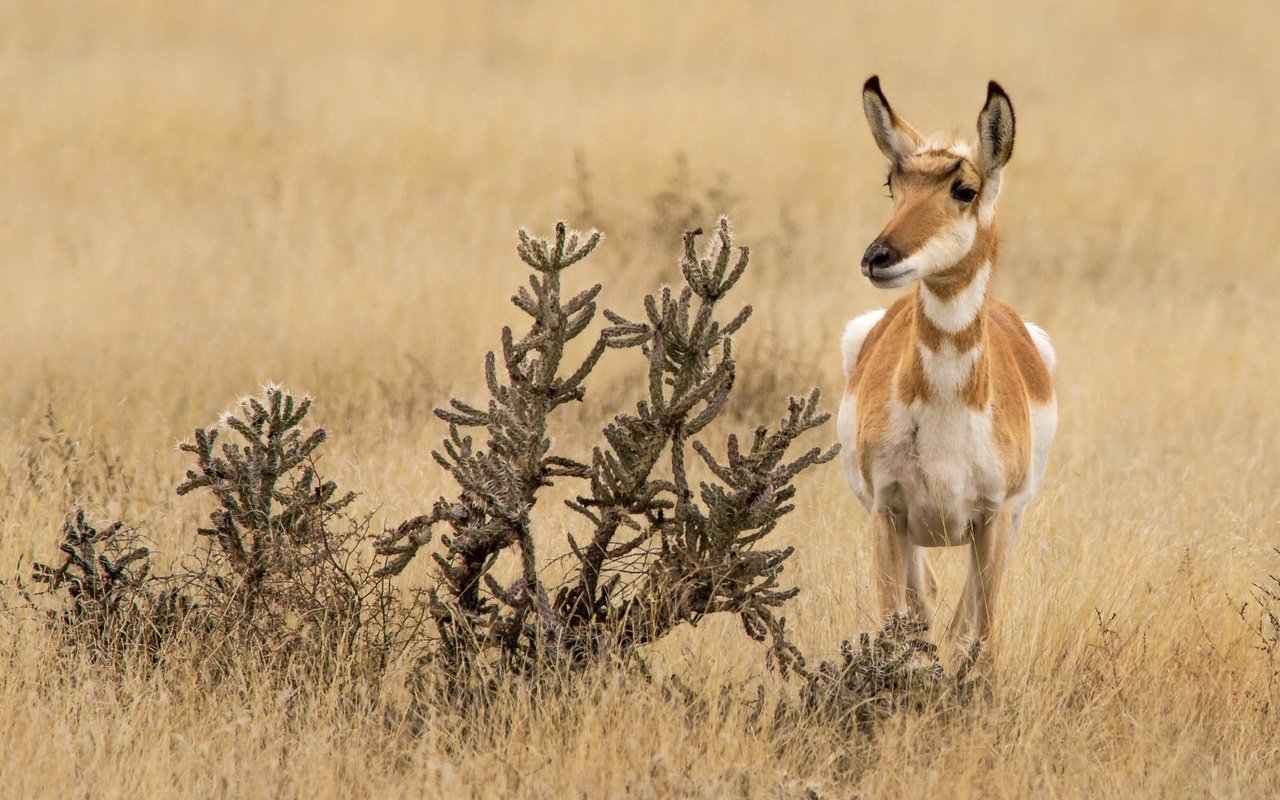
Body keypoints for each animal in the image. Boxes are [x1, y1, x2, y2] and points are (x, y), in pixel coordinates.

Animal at [834, 76, 1054, 650]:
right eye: (893, 183)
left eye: (964, 189)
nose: (878, 257)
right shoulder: (889, 515)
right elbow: (896, 624)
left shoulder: (993, 519)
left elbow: (983, 637)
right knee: (924, 604)